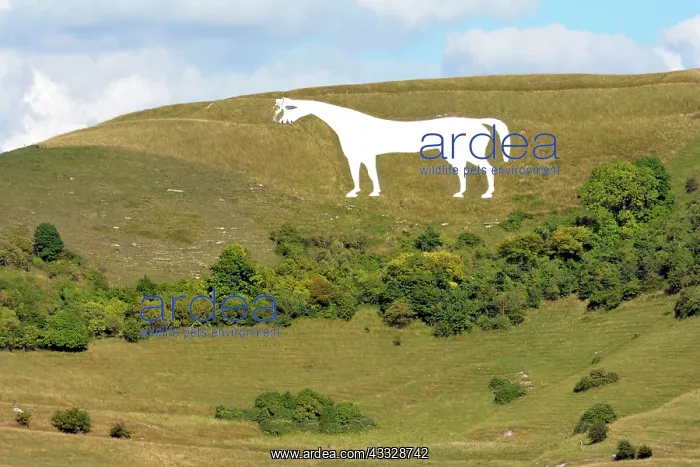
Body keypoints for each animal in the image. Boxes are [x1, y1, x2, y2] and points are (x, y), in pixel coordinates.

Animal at [272, 97, 511, 199]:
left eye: (289, 108)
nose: (282, 122)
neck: (349, 124)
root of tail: (479, 122)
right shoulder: (360, 156)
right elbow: (363, 174)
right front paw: (361, 192)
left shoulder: (361, 155)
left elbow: (366, 174)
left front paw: (367, 193)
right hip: (455, 155)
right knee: (463, 172)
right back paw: (460, 194)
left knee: (488, 169)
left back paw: (487, 194)